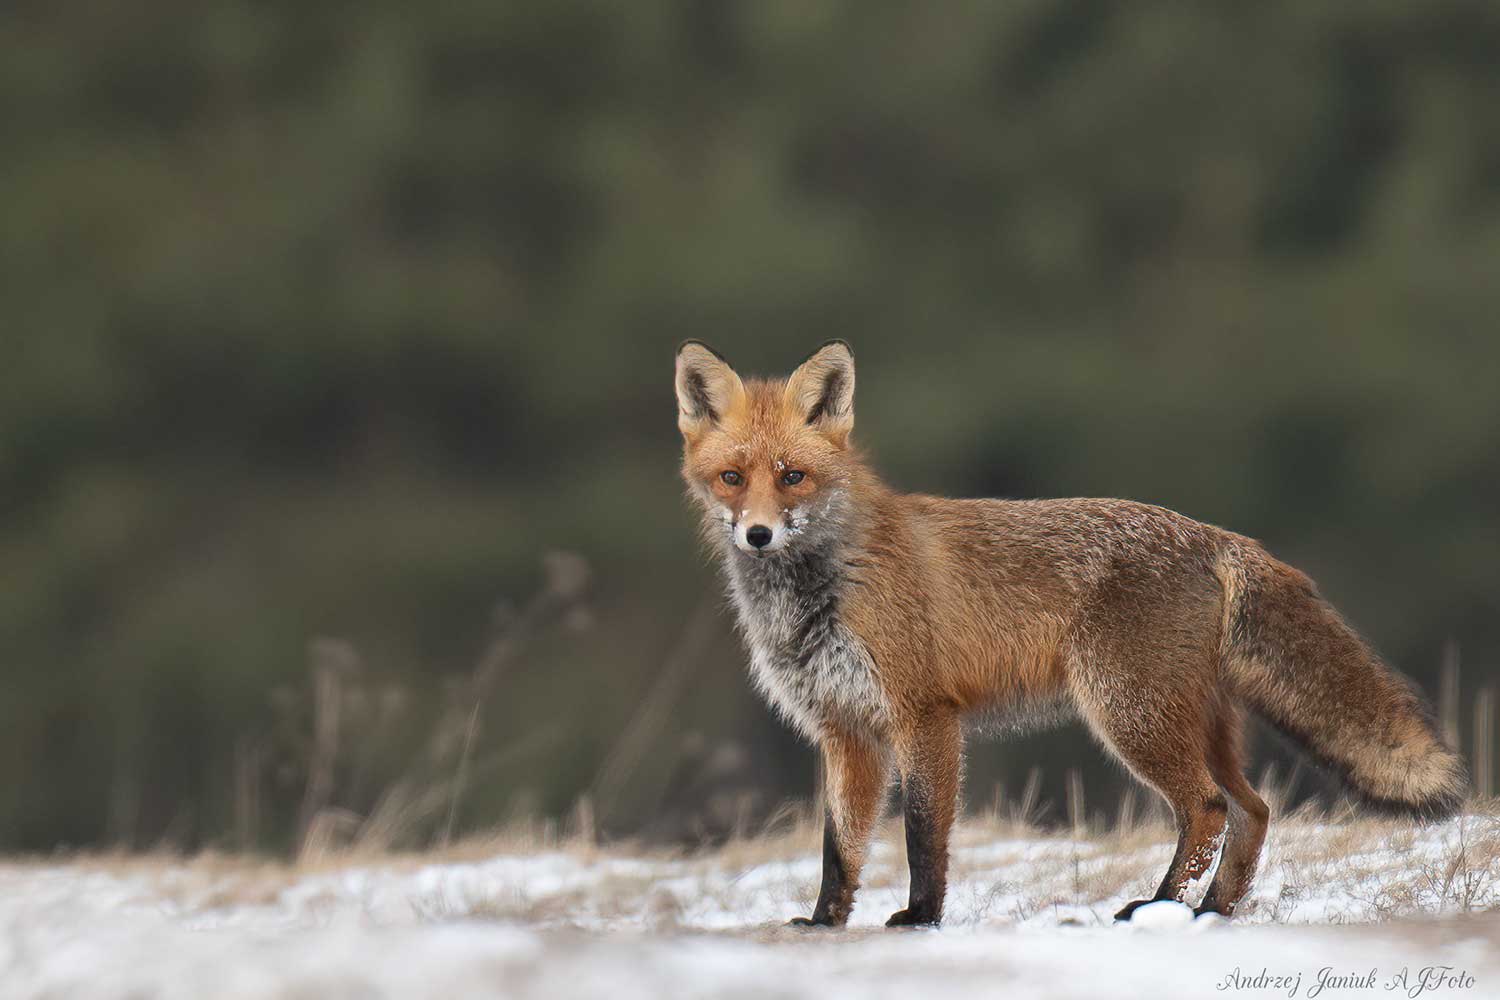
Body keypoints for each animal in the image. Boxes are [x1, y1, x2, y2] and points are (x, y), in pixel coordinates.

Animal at [672, 340, 1464, 929]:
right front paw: (824, 922)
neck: (827, 586)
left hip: (1129, 714)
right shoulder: (845, 730)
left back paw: (1159, 906)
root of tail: (1215, 534)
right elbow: (841, 848)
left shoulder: (924, 714)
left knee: (1207, 809)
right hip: (1196, 721)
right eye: (733, 477)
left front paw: (921, 917)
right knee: (1254, 811)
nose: (758, 534)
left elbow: (924, 834)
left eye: (793, 476)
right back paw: (1211, 912)